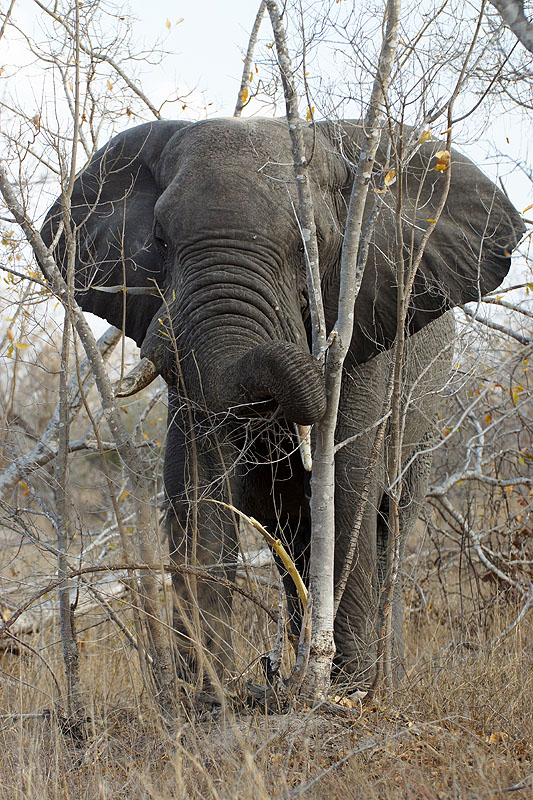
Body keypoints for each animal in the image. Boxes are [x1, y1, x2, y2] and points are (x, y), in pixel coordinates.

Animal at [41, 117, 524, 688]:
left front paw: (346, 691)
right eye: (159, 240)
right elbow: (196, 483)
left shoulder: (365, 326)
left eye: (307, 246)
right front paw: (208, 695)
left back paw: (381, 679)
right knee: (290, 536)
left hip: (425, 416)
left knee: (392, 523)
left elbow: (345, 485)